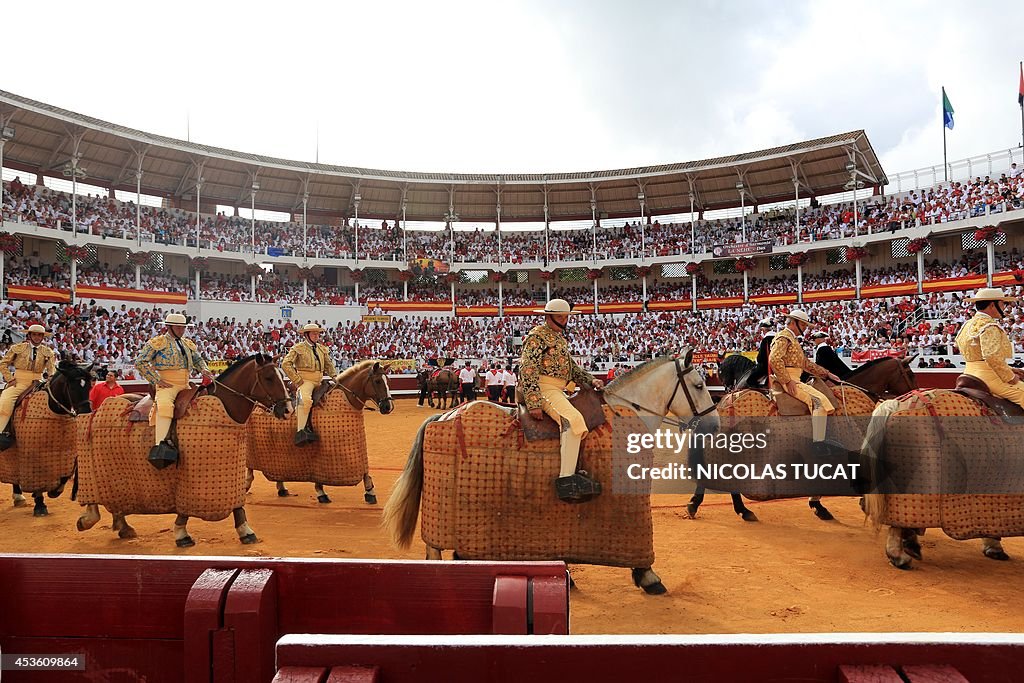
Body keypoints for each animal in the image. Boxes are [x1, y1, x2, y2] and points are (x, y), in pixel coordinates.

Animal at [75, 356, 288, 548]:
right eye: (269, 377)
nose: (287, 409)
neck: (224, 406)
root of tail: (99, 410)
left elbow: (238, 504)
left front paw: (246, 532)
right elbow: (186, 507)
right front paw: (181, 534)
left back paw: (123, 527)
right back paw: (89, 519)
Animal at [245, 360, 393, 505]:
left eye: (388, 380)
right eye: (378, 381)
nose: (388, 407)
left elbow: (365, 471)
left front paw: (370, 492)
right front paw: (321, 493)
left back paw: (281, 488)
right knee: (250, 466)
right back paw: (246, 485)